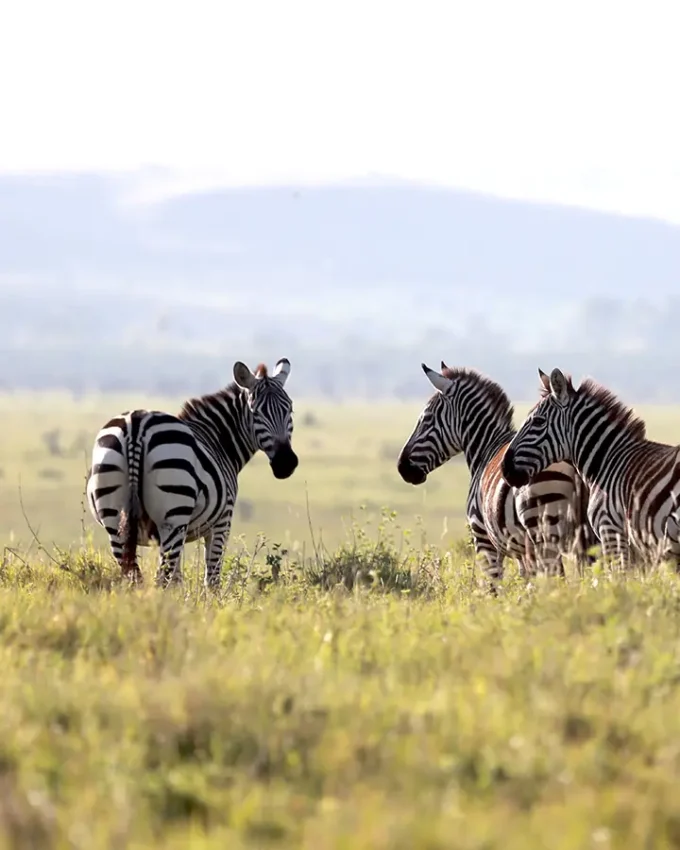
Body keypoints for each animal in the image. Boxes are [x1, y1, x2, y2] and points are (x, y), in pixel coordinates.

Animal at [86, 358, 298, 588]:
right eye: (255, 413)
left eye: (290, 410)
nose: (286, 463)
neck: (218, 440)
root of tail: (136, 425)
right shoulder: (222, 522)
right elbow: (212, 579)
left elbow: (178, 579)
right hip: (173, 517)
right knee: (161, 578)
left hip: (115, 520)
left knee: (134, 576)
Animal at [396, 362, 597, 586]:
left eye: (427, 418)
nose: (402, 466)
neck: (486, 446)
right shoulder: (521, 553)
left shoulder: (483, 539)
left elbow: (493, 586)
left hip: (544, 529)